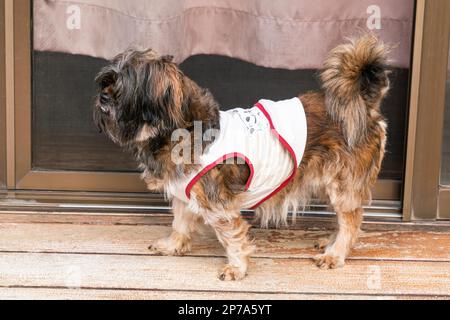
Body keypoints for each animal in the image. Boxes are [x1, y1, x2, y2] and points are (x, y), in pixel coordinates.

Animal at [94, 34, 390, 280]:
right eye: (106, 83)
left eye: (124, 89)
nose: (102, 98)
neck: (183, 128)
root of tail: (363, 105)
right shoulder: (185, 195)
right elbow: (180, 223)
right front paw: (173, 245)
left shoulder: (219, 206)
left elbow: (233, 238)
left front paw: (236, 267)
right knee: (348, 219)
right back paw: (331, 243)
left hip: (342, 184)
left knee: (351, 221)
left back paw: (335, 253)